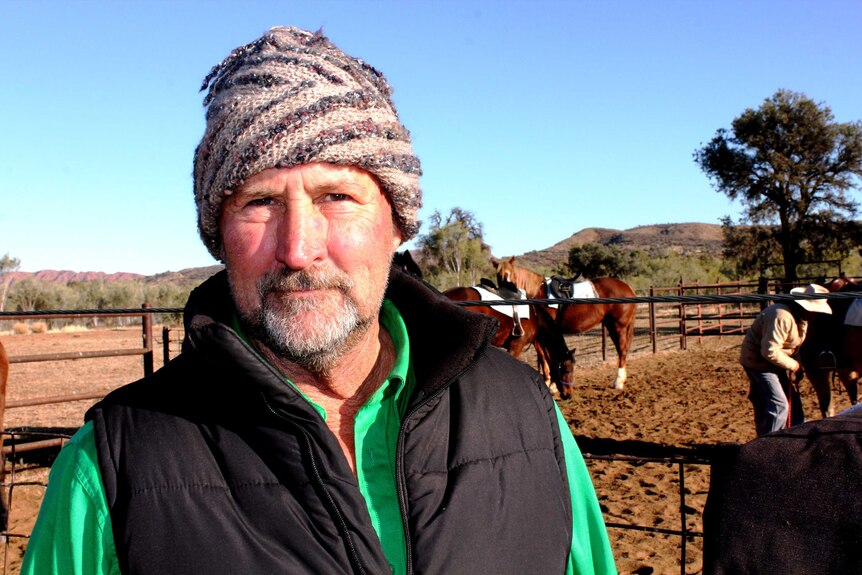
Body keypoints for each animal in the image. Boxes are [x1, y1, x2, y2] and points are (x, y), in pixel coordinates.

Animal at [496, 258, 636, 390]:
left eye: (510, 275)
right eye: (498, 275)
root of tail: (628, 288)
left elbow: (547, 357)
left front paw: (552, 385)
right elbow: (543, 358)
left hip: (619, 326)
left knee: (622, 349)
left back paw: (618, 382)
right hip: (611, 325)